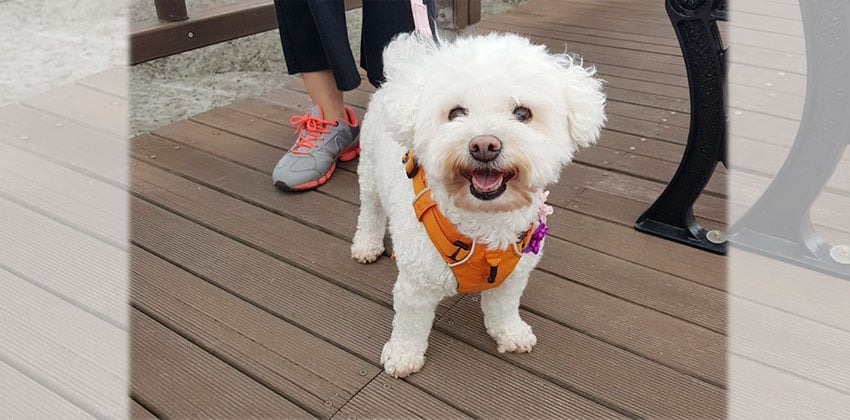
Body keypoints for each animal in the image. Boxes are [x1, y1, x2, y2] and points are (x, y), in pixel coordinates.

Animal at [350, 31, 604, 376]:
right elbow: (409, 325)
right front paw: (403, 356)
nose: (484, 145)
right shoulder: (415, 286)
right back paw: (366, 245)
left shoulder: (514, 278)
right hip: (370, 173)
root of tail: (401, 70)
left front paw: (511, 333)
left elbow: (504, 308)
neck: (485, 221)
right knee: (371, 212)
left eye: (522, 113)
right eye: (456, 113)